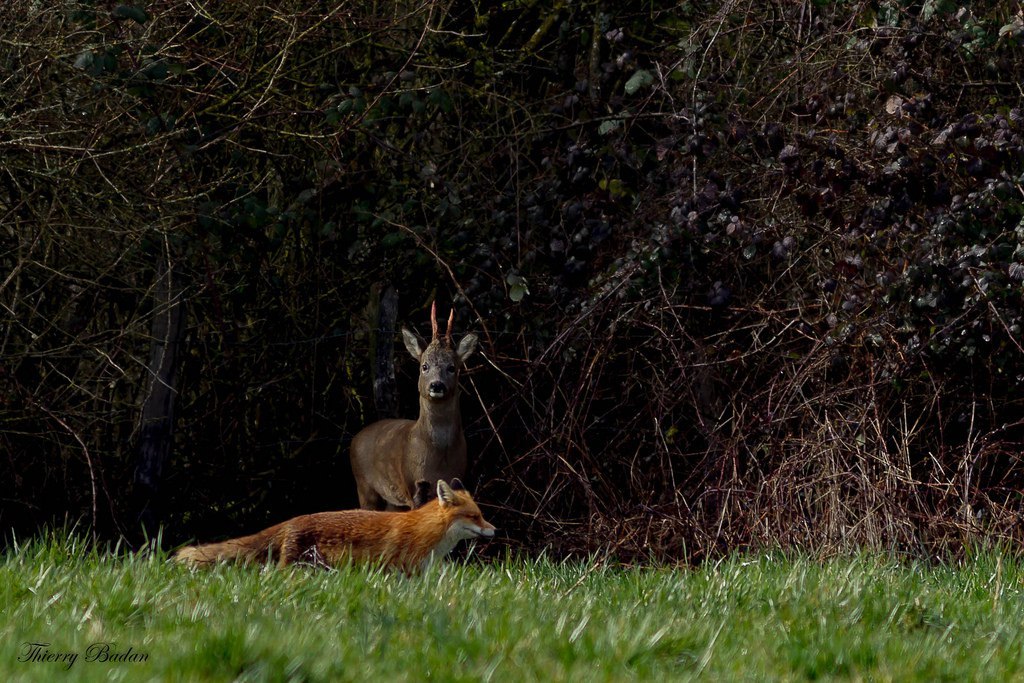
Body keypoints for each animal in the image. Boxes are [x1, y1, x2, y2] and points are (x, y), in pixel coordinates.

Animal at [350, 301, 477, 509]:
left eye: (452, 367)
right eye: (424, 366)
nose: (436, 385)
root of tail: (355, 438)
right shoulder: (412, 486)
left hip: (392, 498)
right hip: (364, 486)